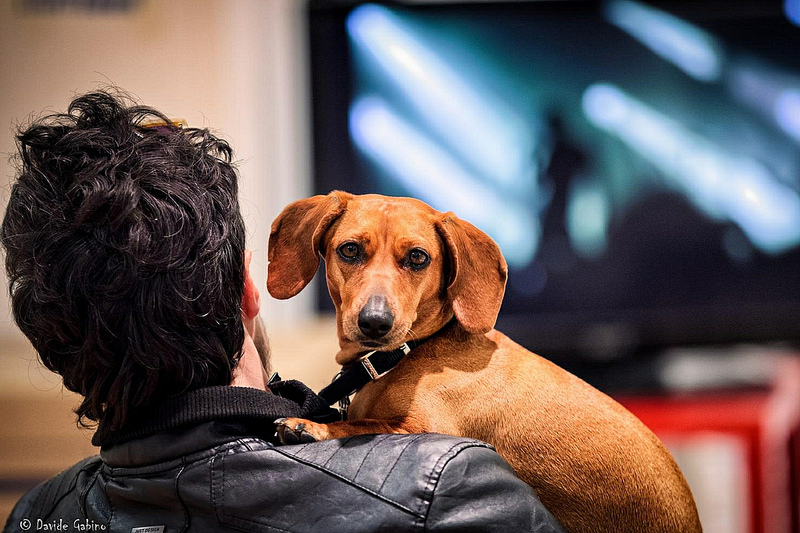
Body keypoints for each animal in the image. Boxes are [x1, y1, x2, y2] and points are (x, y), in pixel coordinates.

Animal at [268, 192, 700, 532]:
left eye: (418, 257)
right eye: (350, 250)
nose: (375, 322)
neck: (410, 352)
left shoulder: (423, 428)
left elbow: (360, 426)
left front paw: (311, 427)